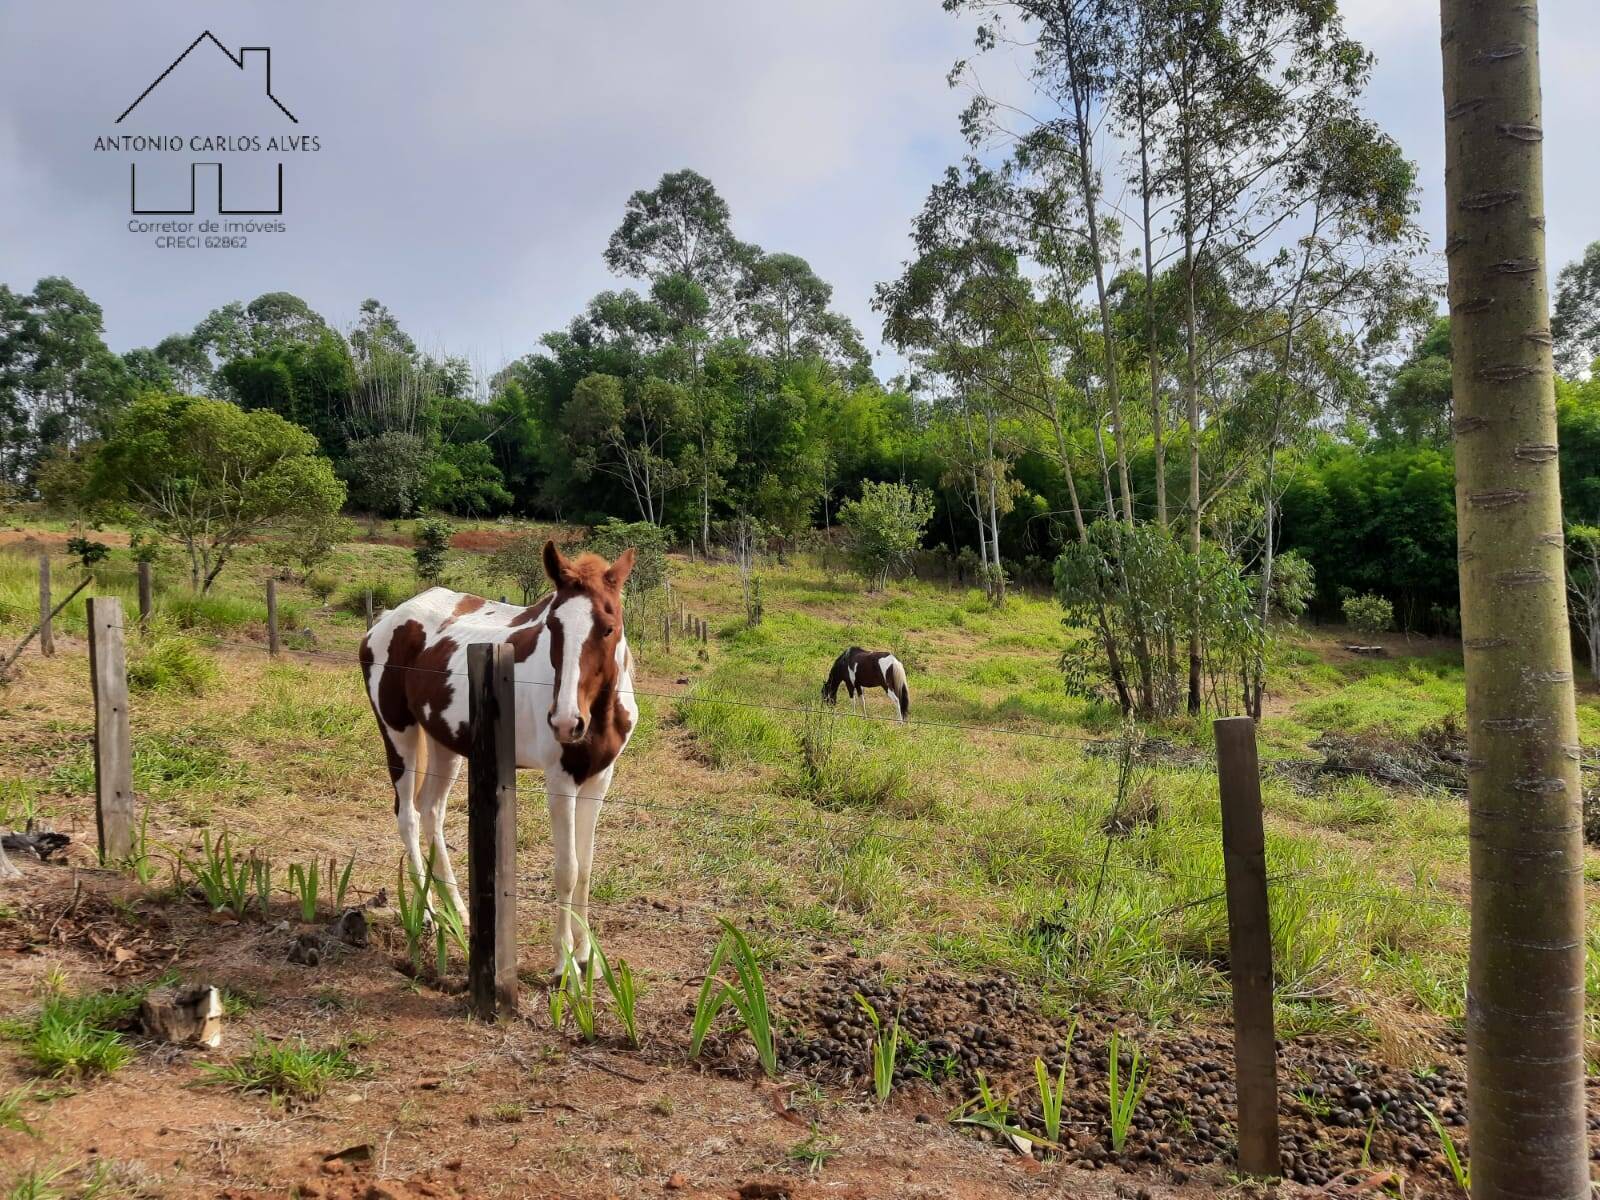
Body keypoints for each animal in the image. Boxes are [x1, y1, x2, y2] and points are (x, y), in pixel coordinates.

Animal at [363, 544, 636, 966]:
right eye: (552, 626)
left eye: (608, 626)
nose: (565, 721)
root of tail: (386, 621)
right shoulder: (560, 779)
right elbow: (567, 869)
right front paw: (564, 964)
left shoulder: (599, 776)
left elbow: (587, 865)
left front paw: (585, 953)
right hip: (398, 733)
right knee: (407, 814)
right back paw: (426, 916)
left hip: (445, 743)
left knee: (431, 811)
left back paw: (457, 913)